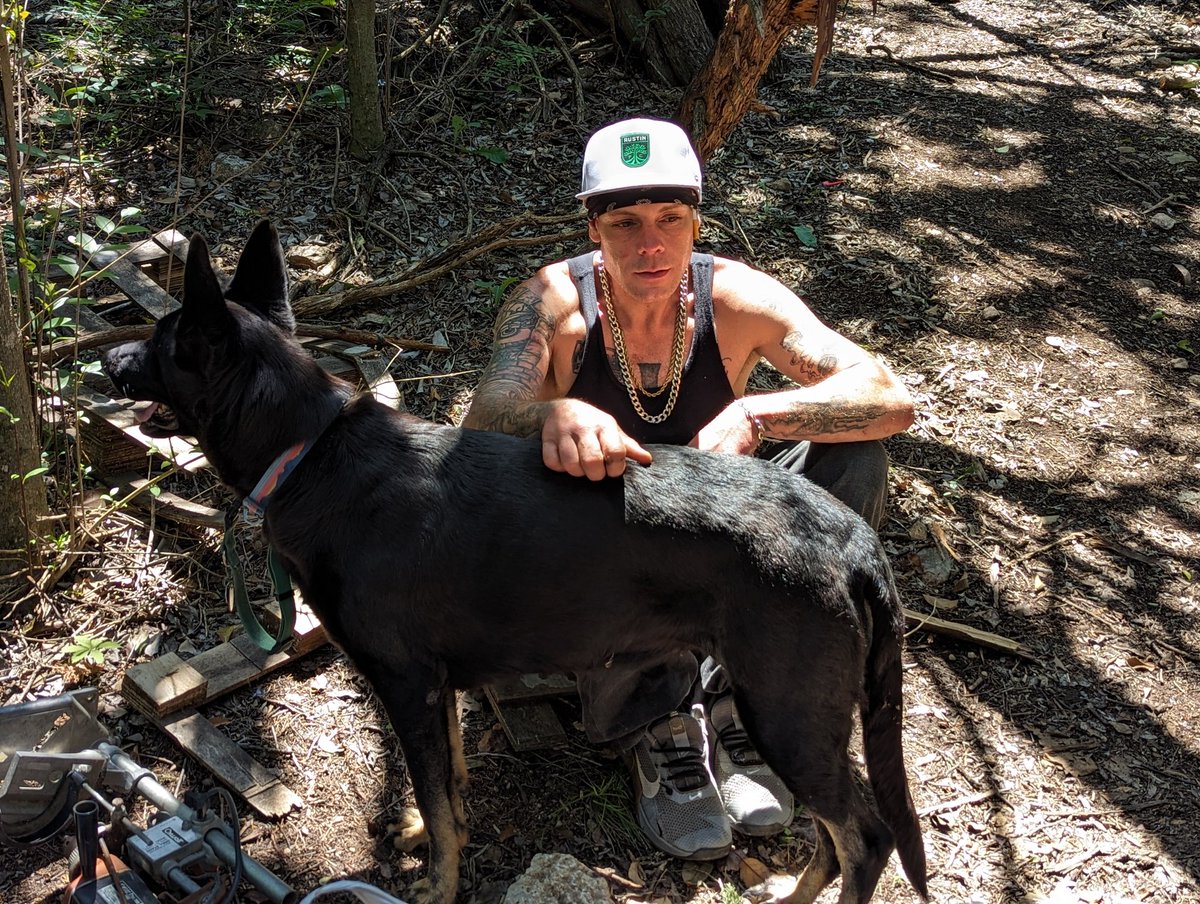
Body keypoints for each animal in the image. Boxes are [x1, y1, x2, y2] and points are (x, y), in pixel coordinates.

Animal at [103, 222, 926, 902]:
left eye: (162, 340)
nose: (109, 357)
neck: (311, 449)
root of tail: (855, 542)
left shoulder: (404, 682)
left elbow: (439, 801)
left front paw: (436, 886)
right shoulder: (436, 687)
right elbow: (449, 785)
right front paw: (428, 833)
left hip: (784, 708)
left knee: (865, 836)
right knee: (836, 835)